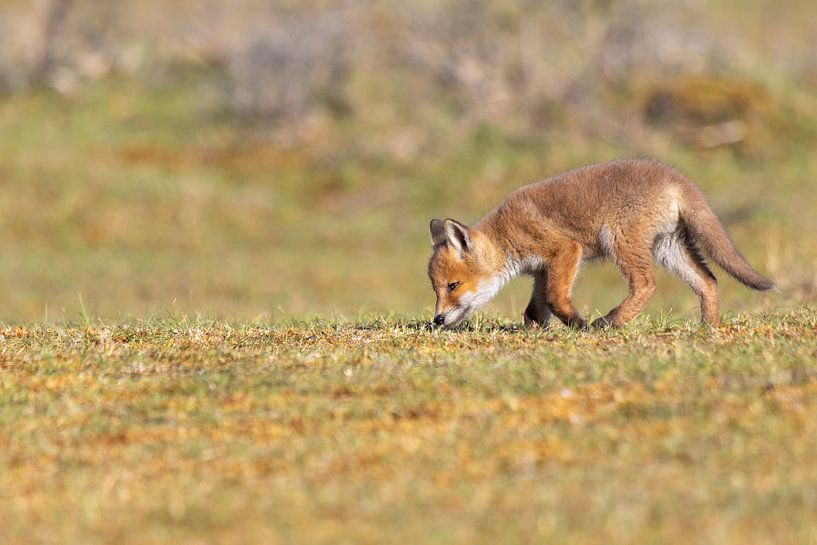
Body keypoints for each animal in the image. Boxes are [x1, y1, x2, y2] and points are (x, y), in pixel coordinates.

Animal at [428, 159, 774, 330]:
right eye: (437, 289)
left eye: (453, 285)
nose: (437, 319)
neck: (508, 233)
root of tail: (676, 179)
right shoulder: (542, 270)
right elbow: (535, 309)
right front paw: (534, 332)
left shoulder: (565, 251)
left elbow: (555, 299)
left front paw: (578, 325)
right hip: (668, 248)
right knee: (708, 281)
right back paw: (708, 329)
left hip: (620, 241)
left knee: (646, 284)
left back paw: (610, 322)